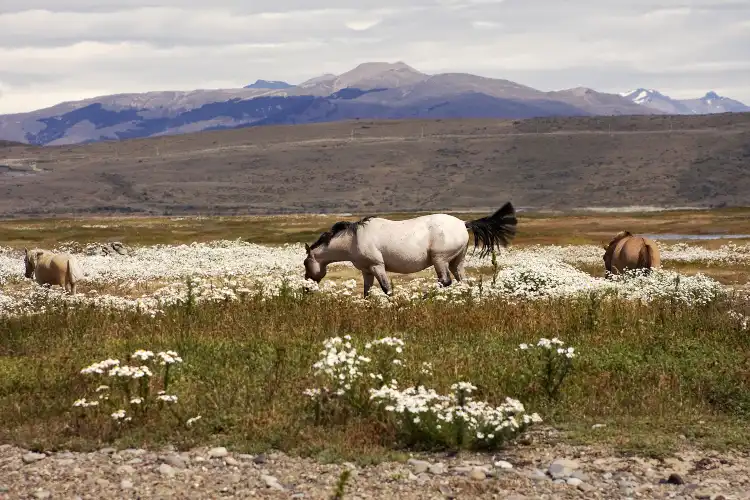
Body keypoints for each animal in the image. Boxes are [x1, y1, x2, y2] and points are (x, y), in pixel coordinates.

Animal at [302, 202, 520, 296]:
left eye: (305, 263)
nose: (306, 288)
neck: (354, 239)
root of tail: (463, 224)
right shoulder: (366, 271)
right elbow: (367, 292)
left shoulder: (377, 266)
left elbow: (386, 288)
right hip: (457, 261)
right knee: (462, 282)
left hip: (439, 260)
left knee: (445, 281)